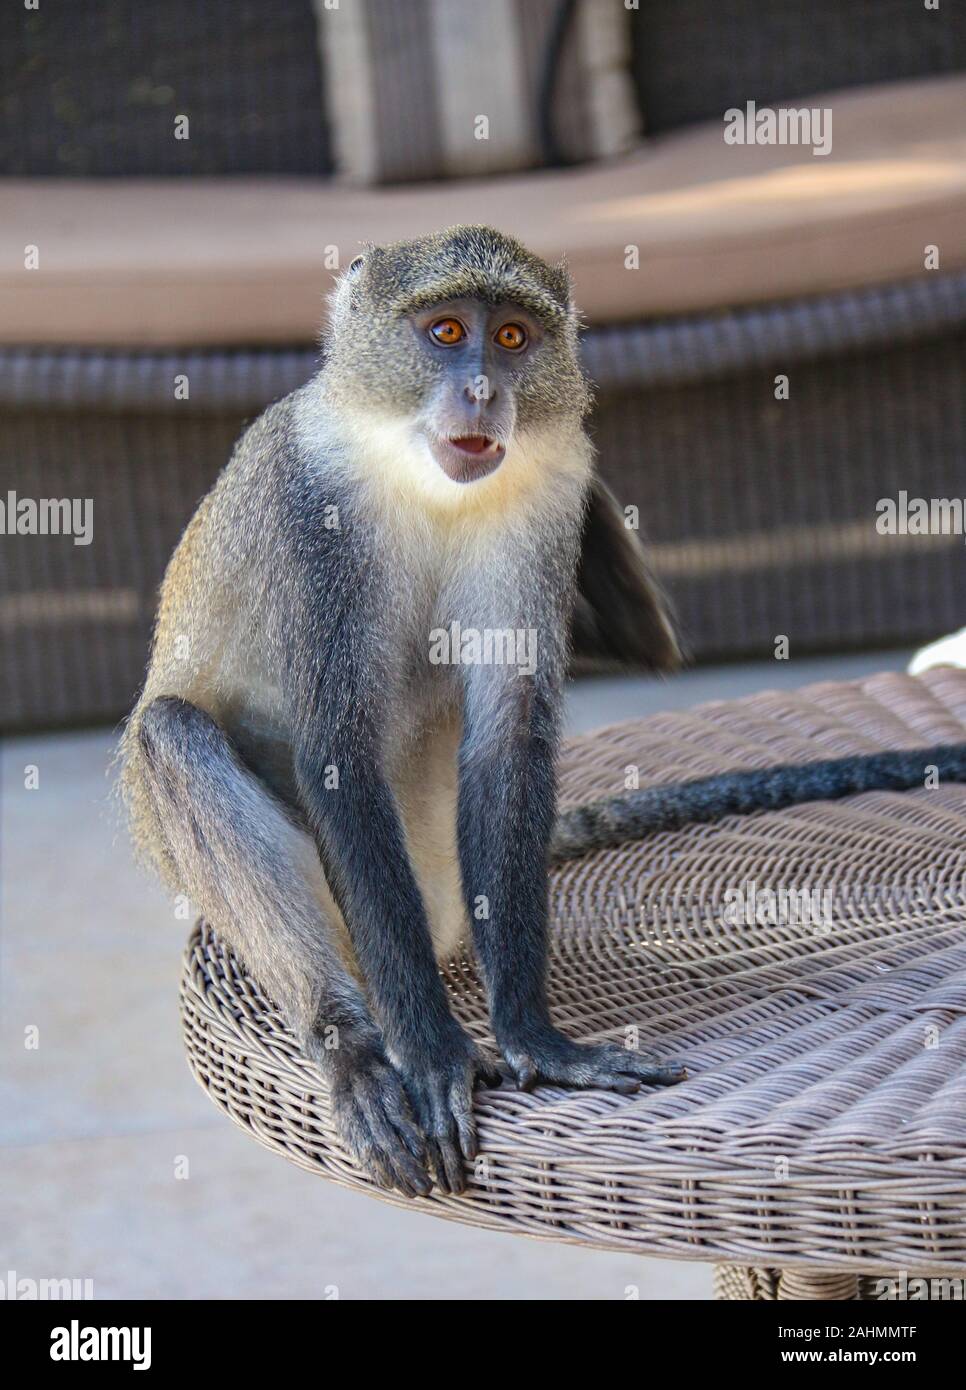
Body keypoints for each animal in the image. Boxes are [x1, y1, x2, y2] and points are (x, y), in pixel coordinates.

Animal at [120, 225, 966, 1199]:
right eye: (448, 331)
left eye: (515, 338)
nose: (485, 391)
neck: (413, 471)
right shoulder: (312, 506)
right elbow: (337, 747)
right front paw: (428, 1053)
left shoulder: (548, 497)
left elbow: (509, 735)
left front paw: (533, 1037)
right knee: (172, 732)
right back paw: (350, 1046)